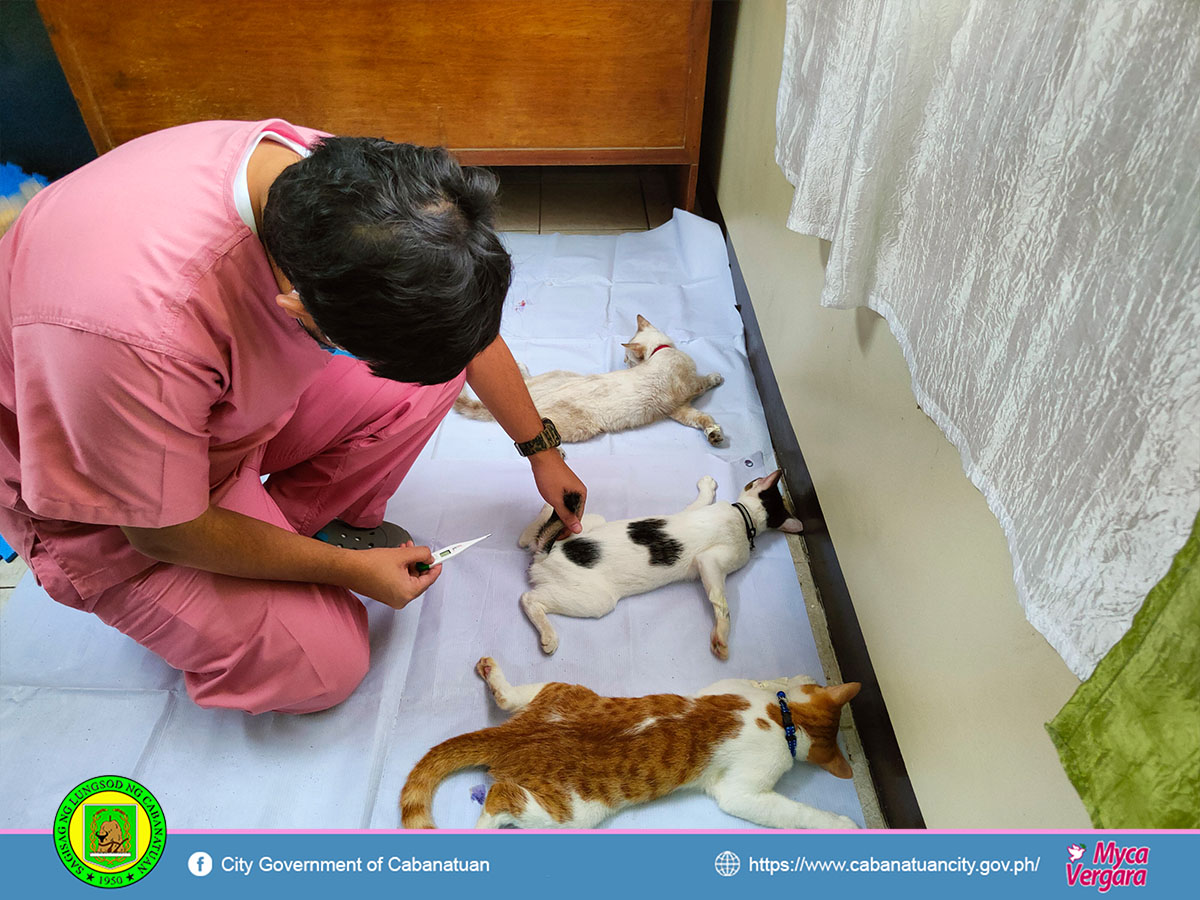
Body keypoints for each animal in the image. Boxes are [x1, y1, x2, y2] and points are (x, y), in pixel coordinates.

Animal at [403, 657, 864, 830]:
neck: (785, 718)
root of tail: (513, 735)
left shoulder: (727, 687)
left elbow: (766, 680)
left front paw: (788, 677)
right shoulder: (743, 791)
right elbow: (794, 812)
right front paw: (842, 823)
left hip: (562, 691)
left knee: (507, 700)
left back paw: (495, 677)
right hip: (572, 812)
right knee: (500, 796)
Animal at [453, 314, 724, 446]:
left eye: (627, 359)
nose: (623, 362)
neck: (661, 351)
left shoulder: (679, 409)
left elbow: (702, 419)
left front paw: (714, 434)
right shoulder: (689, 388)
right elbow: (705, 382)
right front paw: (717, 376)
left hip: (554, 376)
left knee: (524, 378)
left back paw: (520, 366)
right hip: (580, 428)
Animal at [513, 472, 801, 662]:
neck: (744, 518)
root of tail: (546, 553)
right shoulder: (709, 561)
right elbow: (721, 603)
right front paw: (721, 636)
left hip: (588, 523)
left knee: (533, 535)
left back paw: (541, 516)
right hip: (596, 600)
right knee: (528, 598)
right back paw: (548, 636)